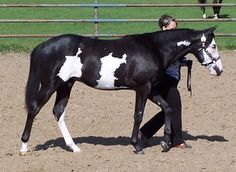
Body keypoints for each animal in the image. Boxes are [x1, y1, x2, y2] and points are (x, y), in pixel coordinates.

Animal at [19, 26, 223, 155]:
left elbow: (167, 108)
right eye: (213, 46)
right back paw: (24, 147)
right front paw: (137, 146)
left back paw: (74, 147)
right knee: (34, 109)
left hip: (66, 85)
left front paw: (165, 143)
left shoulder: (151, 89)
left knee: (58, 111)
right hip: (50, 85)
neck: (153, 49)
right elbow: (138, 115)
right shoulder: (142, 88)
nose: (219, 70)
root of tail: (43, 46)